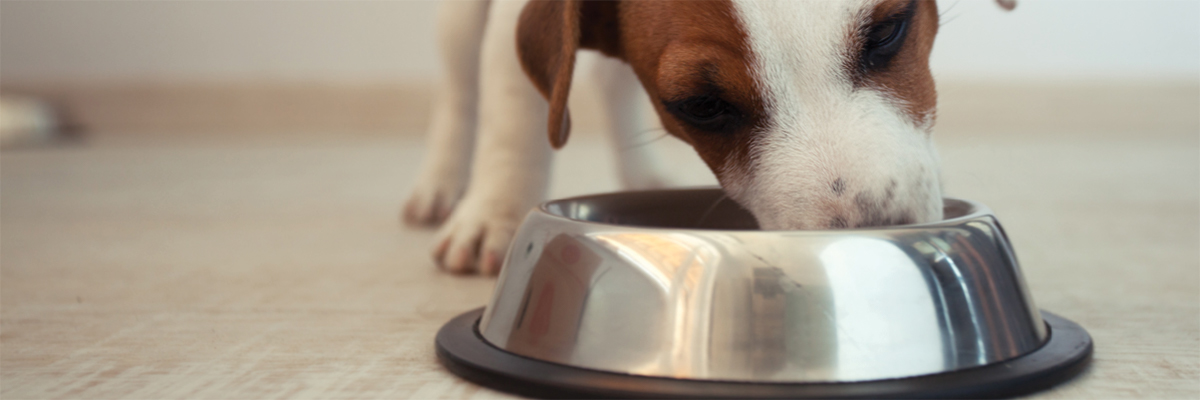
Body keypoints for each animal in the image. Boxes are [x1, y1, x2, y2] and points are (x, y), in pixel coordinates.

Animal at [403, 0, 1012, 273]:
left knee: (608, 80)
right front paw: (495, 215)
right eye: (702, 106)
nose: (872, 240)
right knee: (460, 90)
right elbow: (512, 121)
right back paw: (440, 186)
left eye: (888, 31)